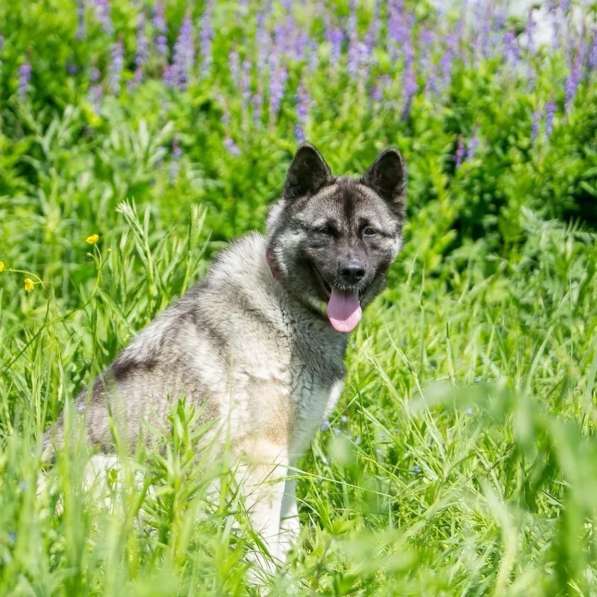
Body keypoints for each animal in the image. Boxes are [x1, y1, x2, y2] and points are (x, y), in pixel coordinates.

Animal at [45, 143, 406, 568]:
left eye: (369, 232)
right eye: (324, 231)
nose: (351, 271)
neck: (287, 304)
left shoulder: (290, 452)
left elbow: (287, 527)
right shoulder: (261, 456)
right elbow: (266, 536)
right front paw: (267, 576)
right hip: (125, 471)